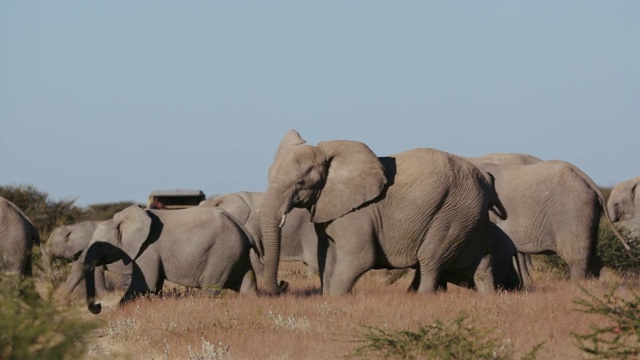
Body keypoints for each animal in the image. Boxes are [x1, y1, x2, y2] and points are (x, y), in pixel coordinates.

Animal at [84, 204, 260, 314]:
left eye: (99, 245)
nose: (98, 306)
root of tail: (241, 227)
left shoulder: (148, 250)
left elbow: (143, 284)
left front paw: (116, 312)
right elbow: (153, 286)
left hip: (221, 254)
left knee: (210, 289)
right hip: (235, 253)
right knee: (247, 282)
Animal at [258, 129, 504, 296]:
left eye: (300, 183)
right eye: (267, 176)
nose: (283, 284)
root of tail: (485, 179)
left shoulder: (358, 213)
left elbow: (358, 257)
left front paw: (335, 298)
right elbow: (325, 254)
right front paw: (325, 295)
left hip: (453, 212)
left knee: (430, 259)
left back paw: (422, 296)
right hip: (470, 216)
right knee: (482, 262)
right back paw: (489, 295)